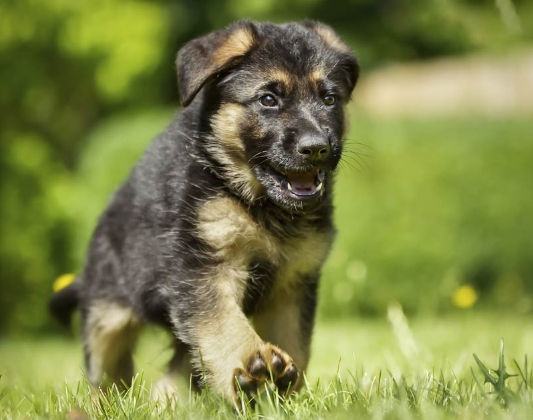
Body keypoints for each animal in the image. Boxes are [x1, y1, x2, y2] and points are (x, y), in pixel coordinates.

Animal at [50, 19, 358, 404]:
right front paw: (250, 362)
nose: (316, 148)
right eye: (268, 100)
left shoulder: (293, 282)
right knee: (108, 370)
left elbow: (294, 341)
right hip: (106, 314)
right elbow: (222, 320)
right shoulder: (203, 266)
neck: (256, 202)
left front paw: (285, 392)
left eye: (329, 99)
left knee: (181, 364)